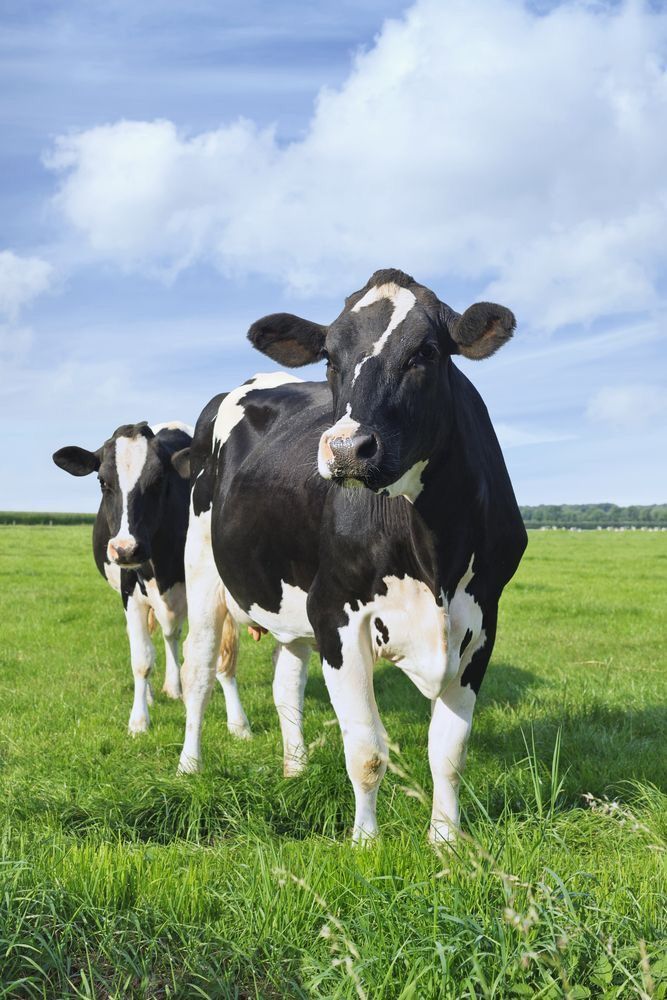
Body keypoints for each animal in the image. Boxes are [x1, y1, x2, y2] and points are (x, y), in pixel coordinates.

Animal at [53, 420, 250, 738]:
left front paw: (238, 723)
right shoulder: (129, 593)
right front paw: (139, 720)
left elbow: (224, 657)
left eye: (158, 481)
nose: (126, 549)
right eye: (103, 482)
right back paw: (149, 694)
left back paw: (174, 686)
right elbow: (142, 660)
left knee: (171, 634)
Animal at [177, 269, 527, 843]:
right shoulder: (335, 612)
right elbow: (366, 750)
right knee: (199, 670)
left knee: (285, 684)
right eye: (330, 358)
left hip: (289, 598)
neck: (433, 555)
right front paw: (365, 841)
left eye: (426, 352)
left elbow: (449, 753)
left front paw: (446, 842)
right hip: (203, 568)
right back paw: (189, 765)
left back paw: (295, 769)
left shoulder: (481, 623)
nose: (346, 449)